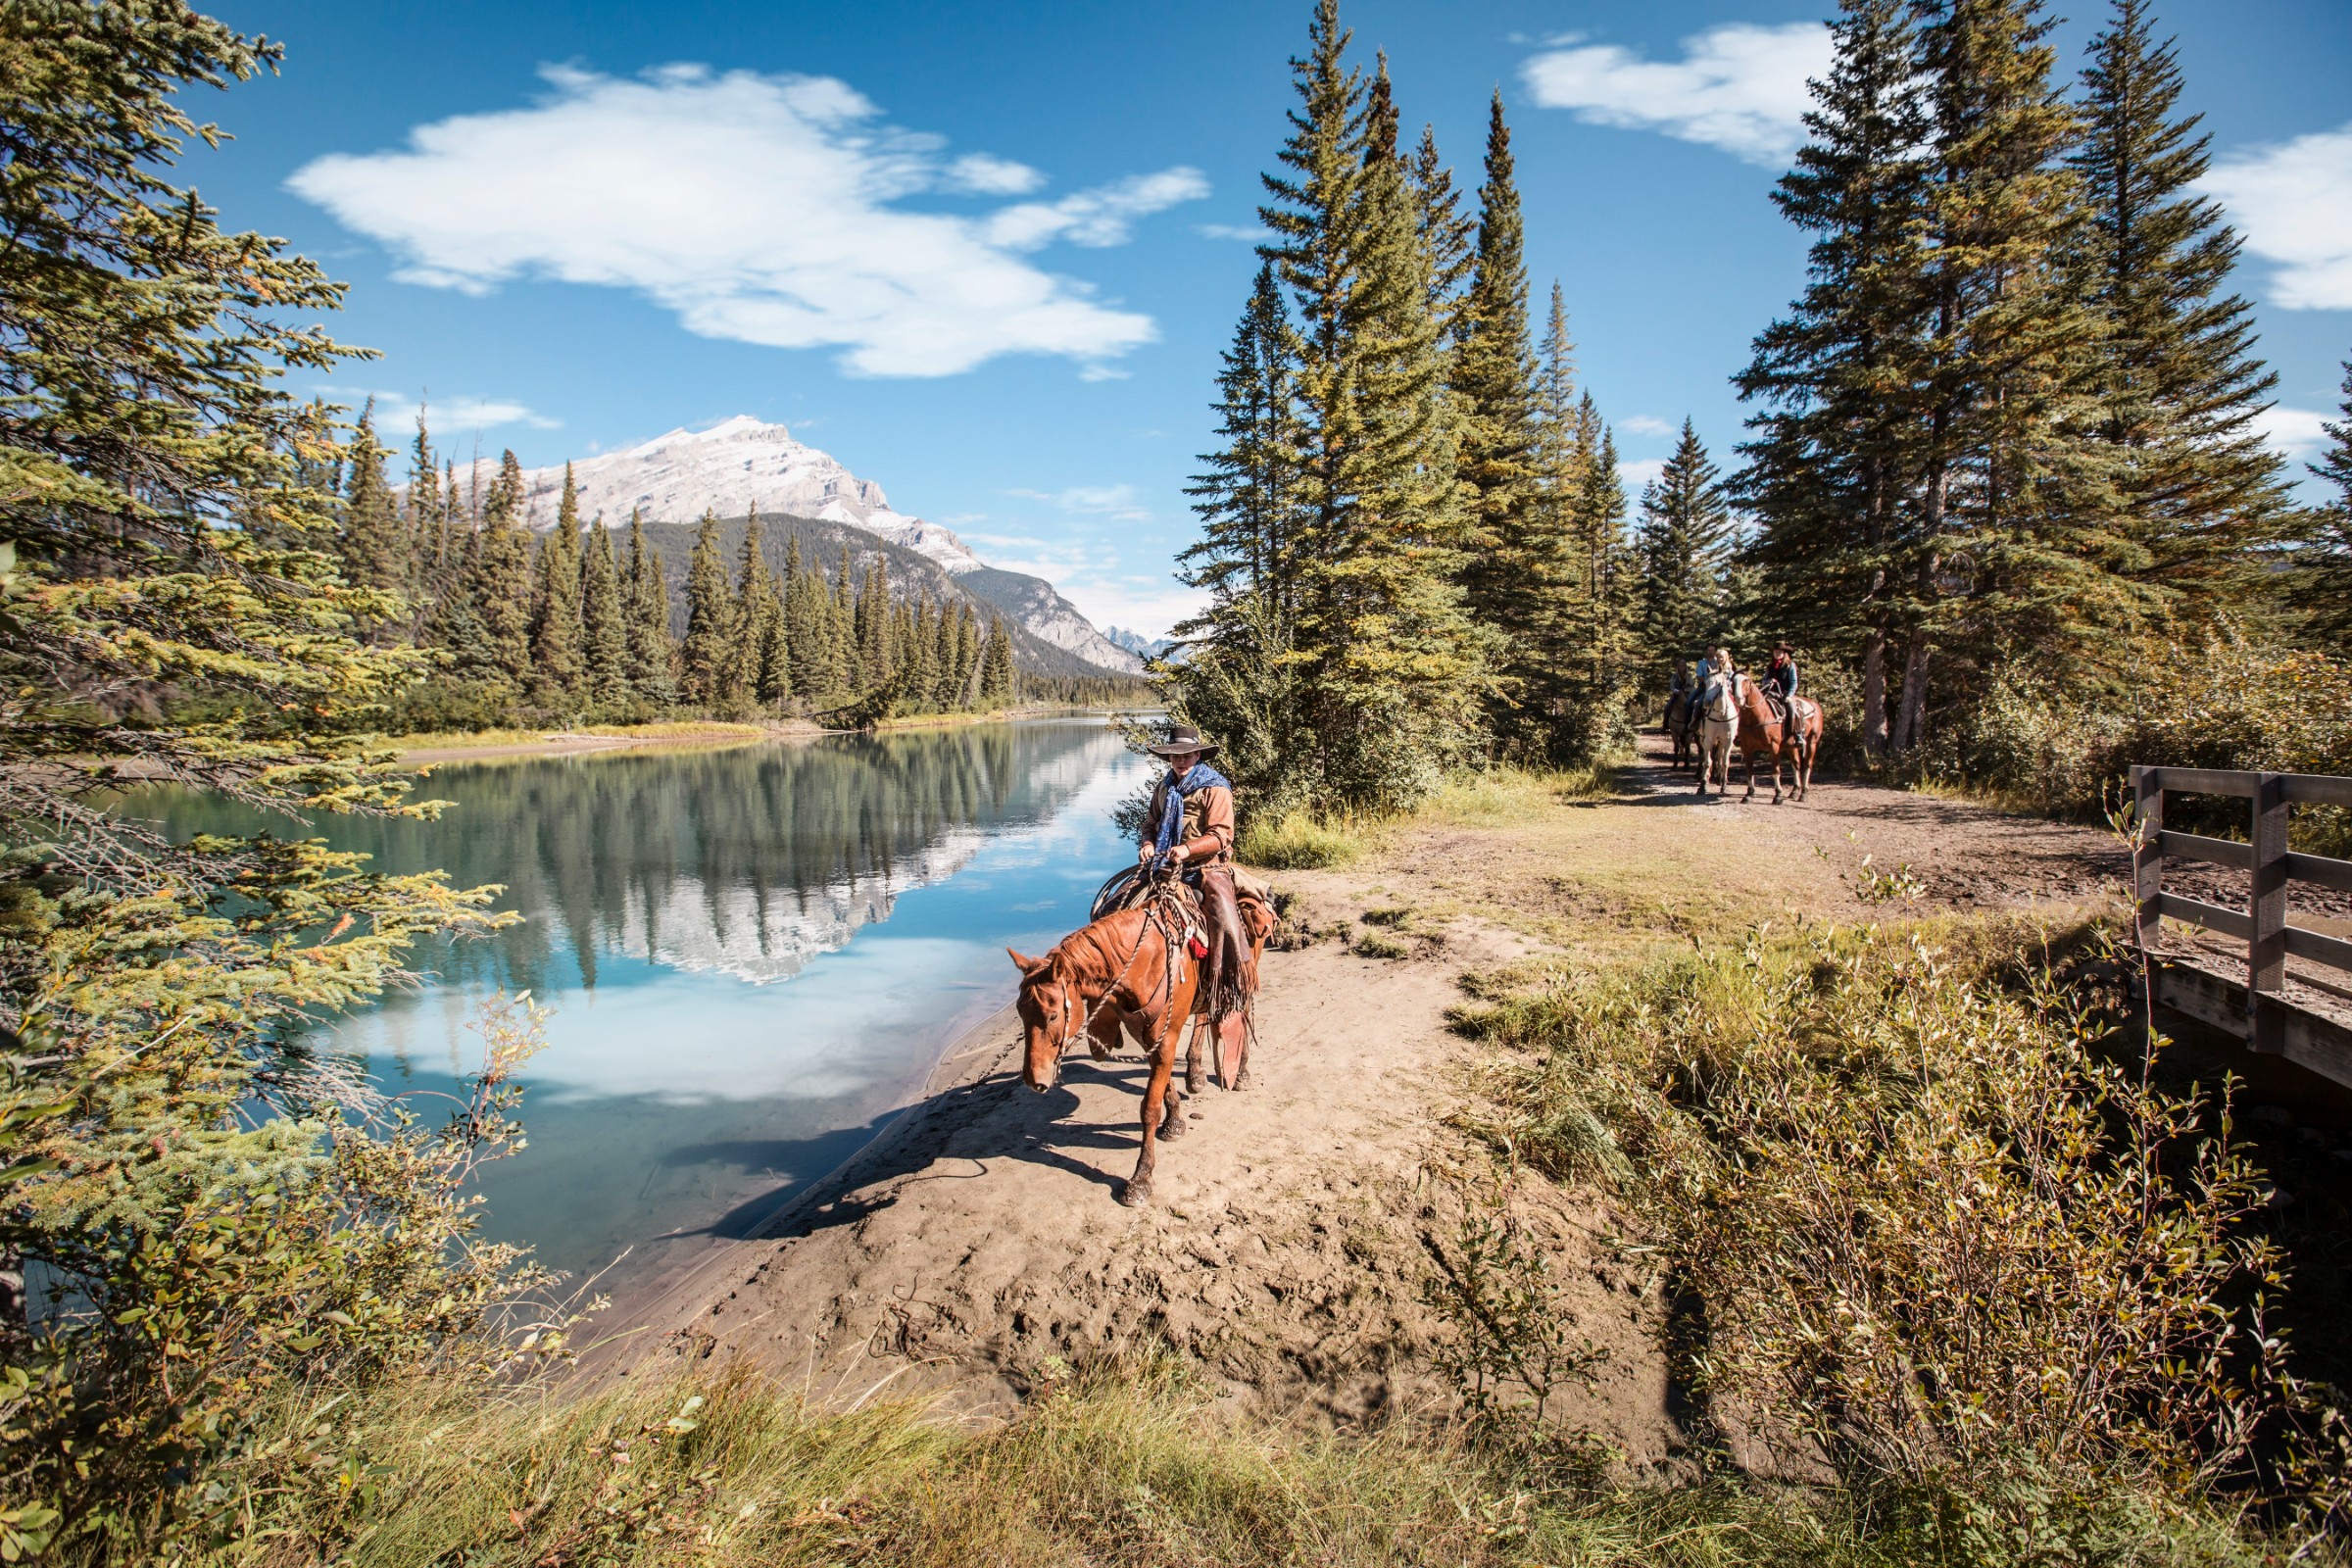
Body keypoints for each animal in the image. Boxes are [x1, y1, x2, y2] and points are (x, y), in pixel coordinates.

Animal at [1702, 672, 1740, 799]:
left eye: (1718, 683)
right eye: (1705, 682)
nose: (1706, 702)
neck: (1721, 715)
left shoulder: (1728, 740)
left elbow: (1725, 762)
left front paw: (1723, 785)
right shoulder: (1708, 739)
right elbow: (1707, 762)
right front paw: (1702, 786)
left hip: (1722, 742)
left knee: (1719, 757)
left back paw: (1719, 778)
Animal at [1731, 672, 1815, 804]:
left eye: (1746, 680)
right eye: (1732, 681)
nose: (1738, 698)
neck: (1758, 717)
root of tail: (1816, 705)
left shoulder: (1774, 747)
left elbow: (1775, 771)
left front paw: (1778, 796)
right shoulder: (1746, 748)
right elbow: (1749, 771)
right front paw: (1749, 794)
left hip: (1812, 742)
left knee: (1807, 765)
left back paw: (1803, 793)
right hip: (1791, 746)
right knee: (1796, 764)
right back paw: (1795, 791)